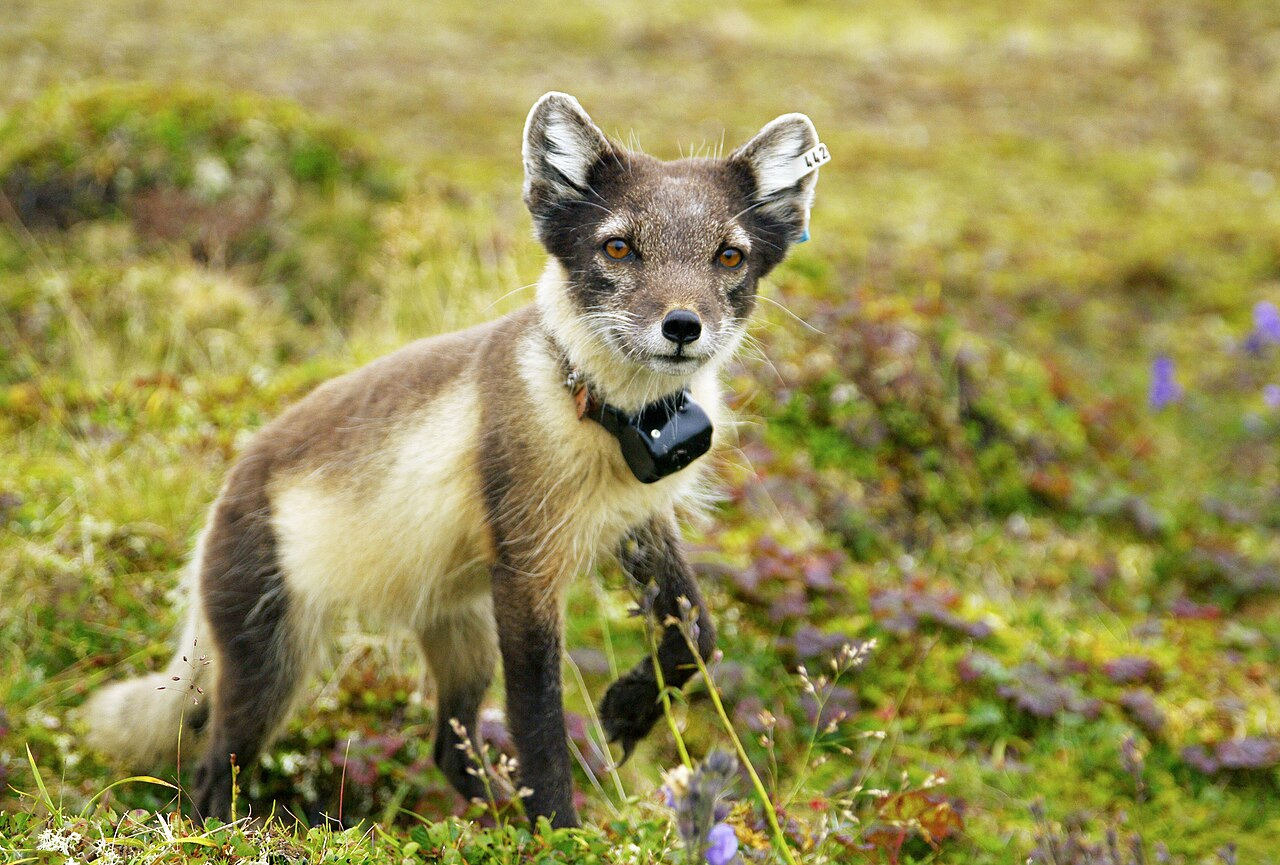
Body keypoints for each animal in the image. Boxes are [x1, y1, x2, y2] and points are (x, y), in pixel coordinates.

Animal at [82, 92, 825, 828]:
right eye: (618, 247)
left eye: (729, 257)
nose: (682, 326)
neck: (605, 414)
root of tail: (221, 496)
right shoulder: (525, 568)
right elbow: (539, 724)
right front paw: (559, 831)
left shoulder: (638, 519)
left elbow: (697, 629)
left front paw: (628, 707)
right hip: (271, 656)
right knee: (214, 766)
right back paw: (224, 829)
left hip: (458, 632)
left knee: (447, 745)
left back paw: (488, 817)